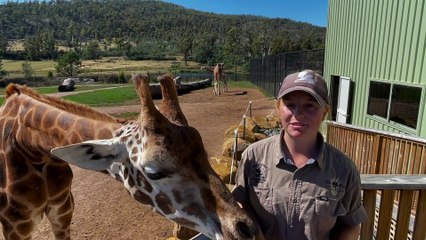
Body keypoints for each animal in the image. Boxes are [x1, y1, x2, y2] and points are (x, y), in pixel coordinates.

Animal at [0, 74, 260, 239]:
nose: (246, 230)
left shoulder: (63, 213)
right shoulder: (15, 227)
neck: (31, 146)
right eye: (153, 172)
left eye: (203, 152)